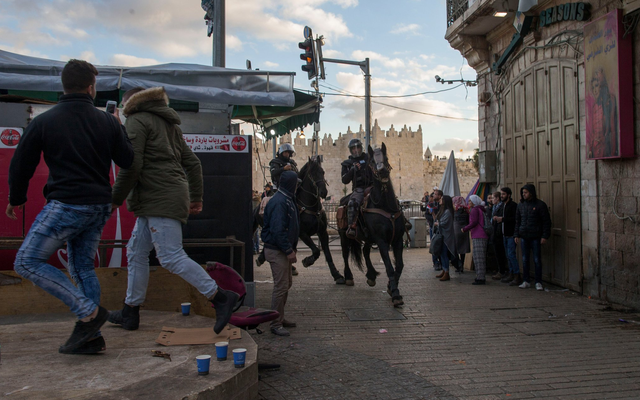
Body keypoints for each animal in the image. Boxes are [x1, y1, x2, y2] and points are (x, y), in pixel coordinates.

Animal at [296, 156, 344, 284]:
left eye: (323, 172)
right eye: (312, 174)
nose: (323, 192)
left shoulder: (323, 232)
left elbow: (327, 253)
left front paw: (336, 274)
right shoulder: (302, 233)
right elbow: (316, 251)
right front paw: (308, 260)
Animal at [340, 143, 404, 306]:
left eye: (385, 158)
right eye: (372, 161)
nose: (382, 171)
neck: (386, 206)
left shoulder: (398, 239)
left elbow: (399, 265)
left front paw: (390, 287)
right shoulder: (381, 241)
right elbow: (389, 267)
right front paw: (395, 294)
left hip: (368, 238)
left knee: (365, 251)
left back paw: (371, 275)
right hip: (344, 235)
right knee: (345, 254)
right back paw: (348, 276)